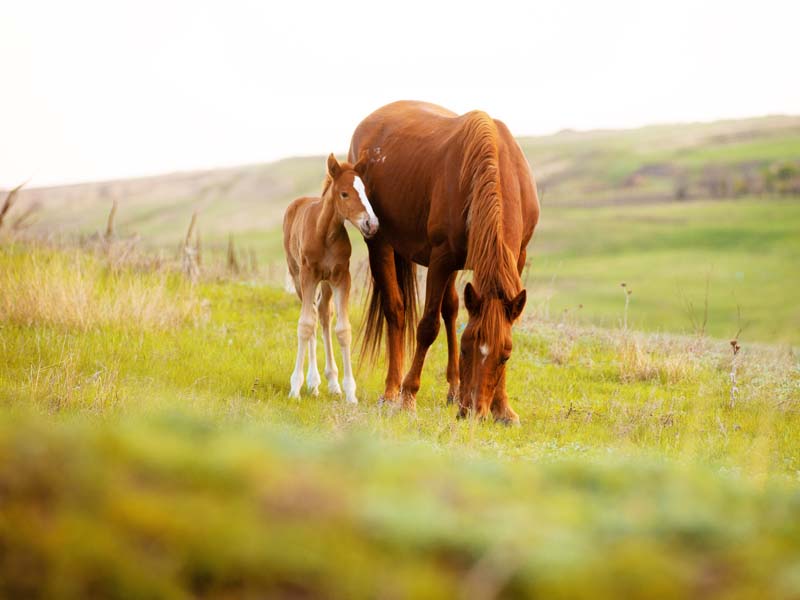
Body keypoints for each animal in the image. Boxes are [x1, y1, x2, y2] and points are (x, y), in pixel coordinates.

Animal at [284, 155, 378, 404]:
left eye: (365, 191)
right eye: (344, 193)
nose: (372, 224)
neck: (325, 234)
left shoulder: (341, 277)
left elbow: (343, 330)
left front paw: (350, 392)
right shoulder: (307, 276)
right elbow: (305, 325)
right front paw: (295, 388)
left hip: (326, 284)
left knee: (324, 315)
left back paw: (331, 382)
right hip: (297, 276)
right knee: (313, 316)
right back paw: (313, 382)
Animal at [348, 102, 536, 422]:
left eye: (505, 356)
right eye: (467, 349)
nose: (475, 413)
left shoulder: (515, 258)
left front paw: (504, 409)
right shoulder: (441, 259)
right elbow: (427, 327)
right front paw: (408, 397)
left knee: (451, 308)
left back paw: (453, 390)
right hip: (380, 242)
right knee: (396, 311)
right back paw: (392, 391)